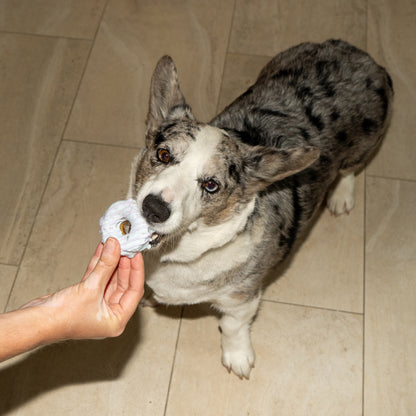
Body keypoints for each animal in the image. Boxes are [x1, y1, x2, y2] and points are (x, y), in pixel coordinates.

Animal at [127, 40, 394, 378]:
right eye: (163, 154)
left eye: (211, 185)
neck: (180, 252)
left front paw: (238, 358)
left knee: (349, 170)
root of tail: (362, 56)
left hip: (362, 147)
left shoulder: (242, 299)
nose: (154, 208)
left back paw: (341, 197)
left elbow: (232, 327)